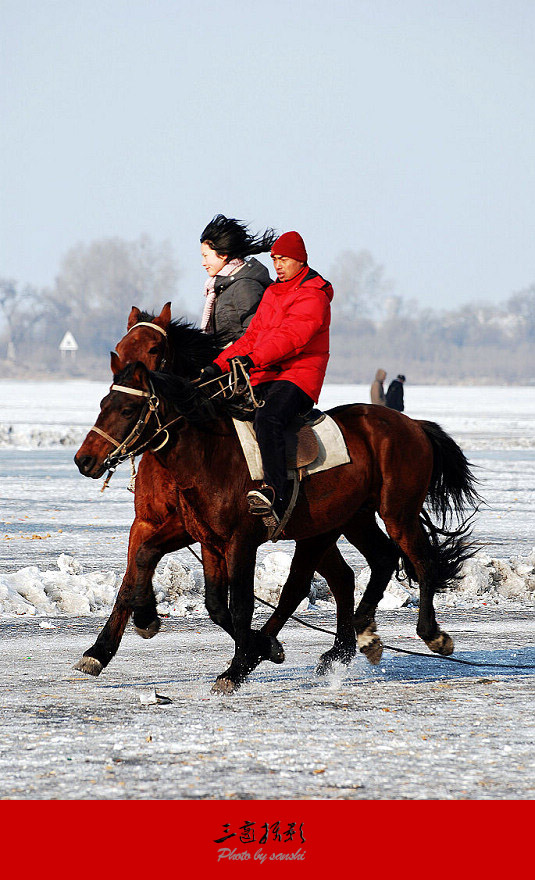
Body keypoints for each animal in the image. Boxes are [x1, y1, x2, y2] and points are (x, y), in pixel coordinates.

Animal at [73, 320, 480, 692]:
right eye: (103, 403)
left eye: (128, 409)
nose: (84, 459)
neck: (210, 453)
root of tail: (412, 424)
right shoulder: (202, 536)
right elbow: (200, 594)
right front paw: (133, 630)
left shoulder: (240, 540)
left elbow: (238, 605)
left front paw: (236, 668)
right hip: (349, 520)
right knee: (372, 563)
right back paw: (354, 638)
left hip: (396, 512)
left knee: (415, 561)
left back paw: (430, 634)